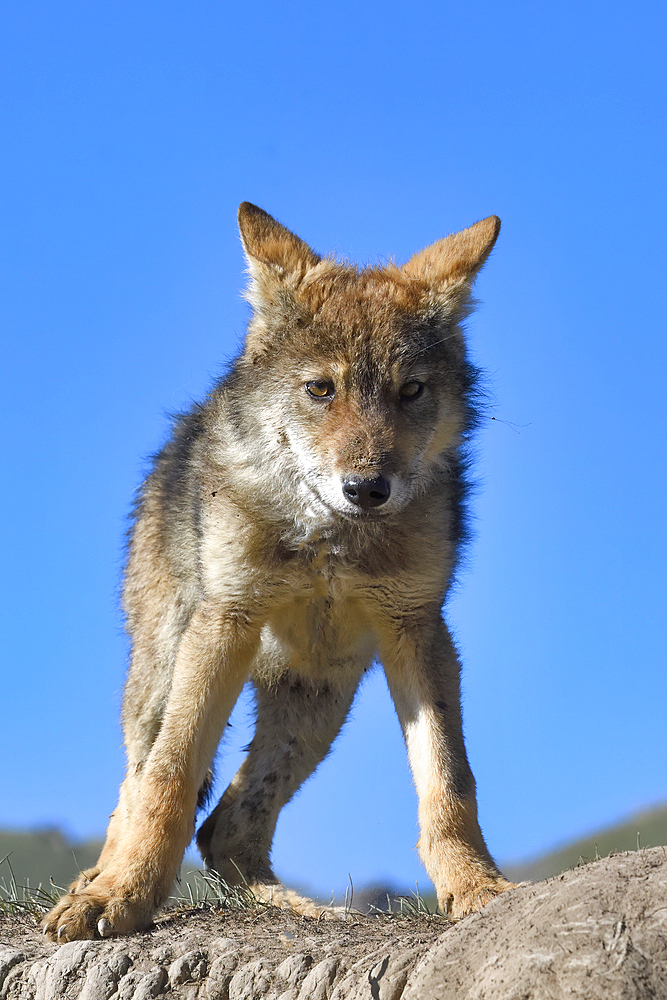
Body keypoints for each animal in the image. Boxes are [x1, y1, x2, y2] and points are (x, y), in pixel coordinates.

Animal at [44, 205, 516, 944]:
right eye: (321, 389)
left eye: (410, 391)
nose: (367, 488)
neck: (329, 542)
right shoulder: (224, 624)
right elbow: (167, 781)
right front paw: (120, 897)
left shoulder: (418, 630)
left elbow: (447, 782)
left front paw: (476, 888)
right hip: (163, 674)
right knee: (138, 786)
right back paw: (98, 880)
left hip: (319, 699)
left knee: (227, 828)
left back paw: (301, 908)